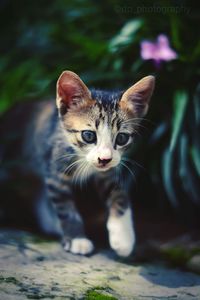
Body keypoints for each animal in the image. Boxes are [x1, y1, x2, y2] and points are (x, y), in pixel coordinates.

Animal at [0, 70, 155, 255]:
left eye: (122, 138)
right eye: (88, 135)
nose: (104, 158)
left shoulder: (107, 172)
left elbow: (119, 194)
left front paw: (123, 238)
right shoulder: (56, 172)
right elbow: (66, 210)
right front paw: (77, 239)